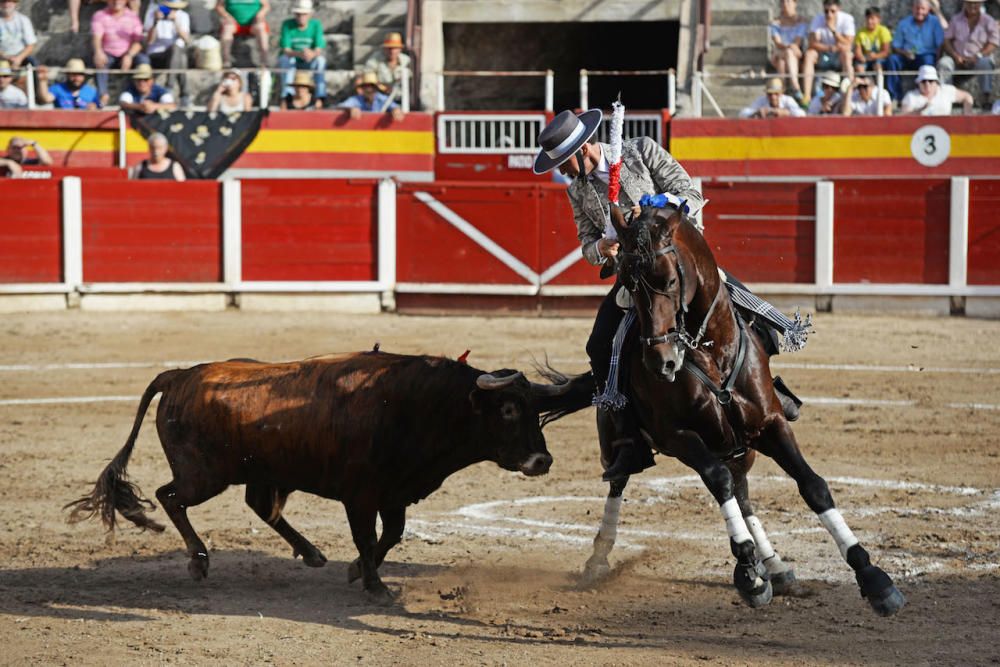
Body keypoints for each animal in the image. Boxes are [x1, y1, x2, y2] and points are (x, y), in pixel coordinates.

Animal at [66, 352, 592, 604]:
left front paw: (358, 571)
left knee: (260, 507)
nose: (542, 461)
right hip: (204, 475)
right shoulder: (360, 495)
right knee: (170, 496)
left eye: (536, 409)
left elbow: (392, 535)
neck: (421, 405)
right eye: (508, 410)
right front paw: (375, 586)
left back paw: (312, 552)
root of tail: (180, 375)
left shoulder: (395, 493)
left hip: (263, 471)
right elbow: (369, 536)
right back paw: (199, 561)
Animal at [580, 206, 908, 620]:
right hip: (619, 443)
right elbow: (718, 482)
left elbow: (813, 485)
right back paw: (598, 560)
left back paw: (777, 566)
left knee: (743, 491)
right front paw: (748, 572)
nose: (661, 361)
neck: (711, 351)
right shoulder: (679, 437)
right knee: (622, 482)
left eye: (669, 279)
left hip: (742, 446)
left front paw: (873, 578)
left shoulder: (770, 424)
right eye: (626, 282)